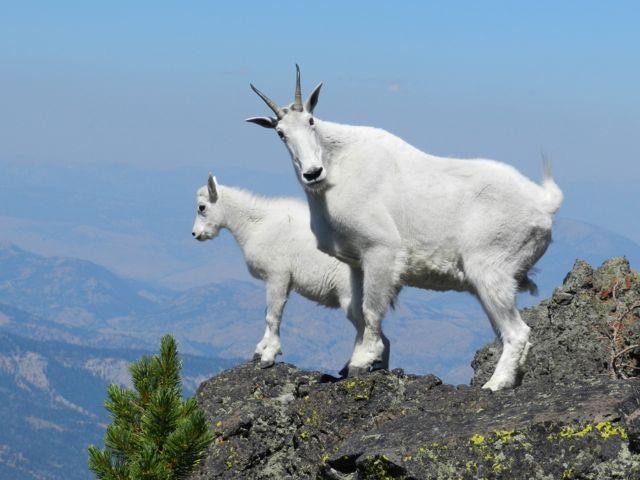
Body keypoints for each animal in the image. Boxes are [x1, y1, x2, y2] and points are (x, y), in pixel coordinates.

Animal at [190, 174, 390, 370]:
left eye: (202, 207)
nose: (195, 234)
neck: (255, 225)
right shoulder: (281, 281)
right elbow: (269, 313)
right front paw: (260, 350)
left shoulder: (277, 276)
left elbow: (273, 315)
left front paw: (268, 356)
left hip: (350, 296)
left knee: (369, 330)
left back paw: (359, 365)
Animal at [248, 66, 564, 390]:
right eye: (280, 133)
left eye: (311, 121)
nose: (312, 173)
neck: (336, 170)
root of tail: (544, 203)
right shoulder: (356, 262)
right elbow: (359, 309)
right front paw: (357, 361)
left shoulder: (380, 250)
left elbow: (371, 308)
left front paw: (363, 361)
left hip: (491, 270)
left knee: (517, 332)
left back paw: (495, 384)